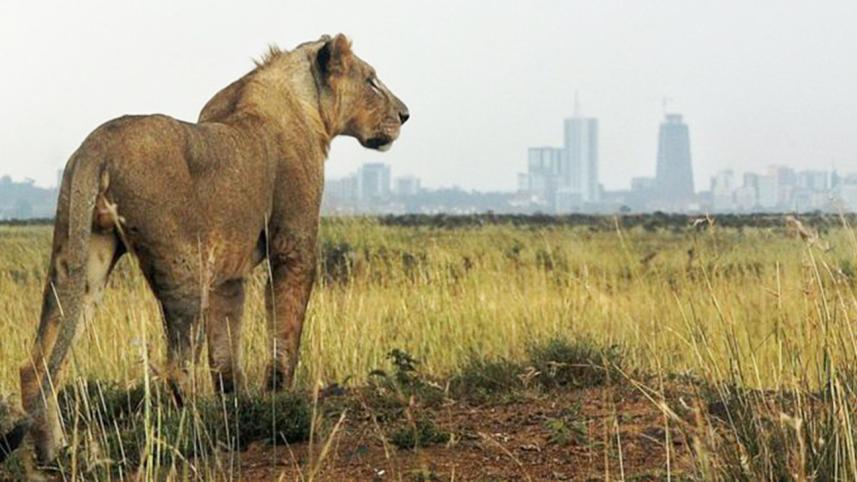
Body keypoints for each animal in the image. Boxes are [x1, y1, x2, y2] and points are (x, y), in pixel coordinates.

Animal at [0, 33, 409, 465]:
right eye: (371, 80)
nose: (405, 114)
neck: (303, 100)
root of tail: (98, 142)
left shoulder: (227, 274)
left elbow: (226, 351)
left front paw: (239, 408)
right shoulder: (294, 245)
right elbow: (285, 332)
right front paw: (279, 403)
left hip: (82, 257)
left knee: (39, 363)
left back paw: (57, 454)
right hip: (182, 268)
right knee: (175, 369)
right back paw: (200, 437)